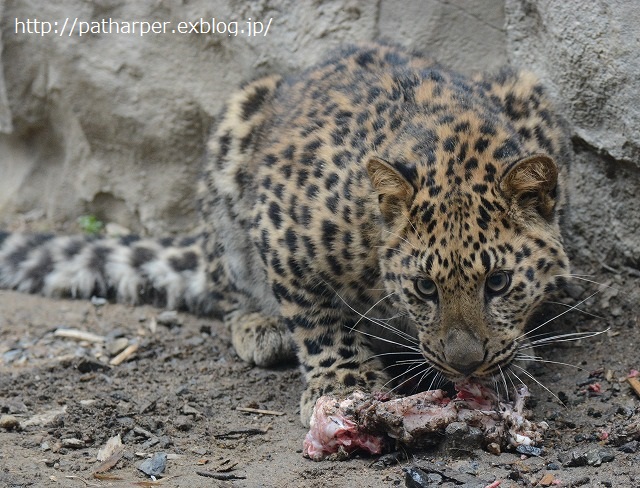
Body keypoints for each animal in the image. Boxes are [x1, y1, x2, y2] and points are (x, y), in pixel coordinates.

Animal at [0, 44, 568, 428]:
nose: (465, 364)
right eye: (424, 288)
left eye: (498, 283)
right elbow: (317, 318)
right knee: (224, 286)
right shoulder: (281, 228)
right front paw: (345, 383)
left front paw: (513, 353)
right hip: (233, 140)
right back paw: (260, 326)